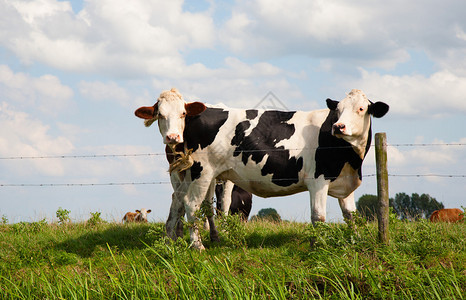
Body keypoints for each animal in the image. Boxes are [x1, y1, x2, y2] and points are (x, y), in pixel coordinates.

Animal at [136, 88, 390, 250]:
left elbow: (351, 216)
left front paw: (355, 242)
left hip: (190, 173)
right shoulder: (318, 180)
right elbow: (319, 216)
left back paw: (170, 241)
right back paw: (197, 246)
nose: (339, 126)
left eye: (361, 109)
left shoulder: (345, 182)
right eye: (337, 110)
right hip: (202, 172)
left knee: (178, 201)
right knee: (191, 204)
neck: (350, 159)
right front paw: (318, 246)